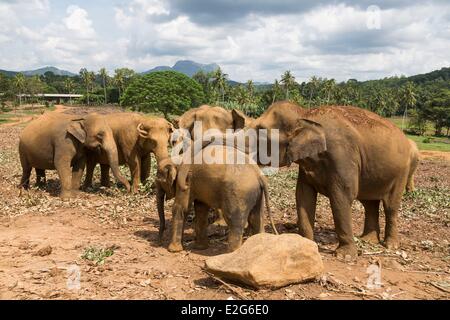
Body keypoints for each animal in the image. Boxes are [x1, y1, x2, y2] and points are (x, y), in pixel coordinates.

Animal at [234, 102, 416, 260]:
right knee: (369, 204)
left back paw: (390, 245)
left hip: (402, 172)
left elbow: (342, 197)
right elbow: (303, 196)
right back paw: (367, 240)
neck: (306, 114)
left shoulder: (342, 156)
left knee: (390, 206)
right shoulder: (306, 164)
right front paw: (305, 244)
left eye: (261, 130)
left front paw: (345, 256)